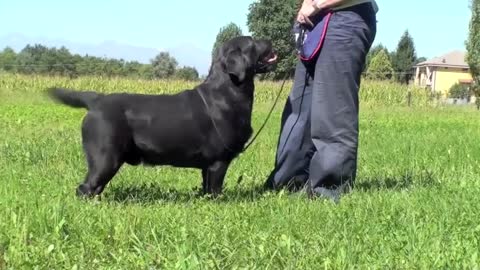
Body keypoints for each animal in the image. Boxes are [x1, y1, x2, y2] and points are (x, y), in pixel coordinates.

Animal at [46, 35, 278, 198]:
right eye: (252, 41)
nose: (270, 40)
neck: (228, 90)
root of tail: (96, 100)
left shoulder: (207, 166)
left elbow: (205, 190)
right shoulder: (218, 162)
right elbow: (215, 191)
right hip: (105, 158)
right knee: (85, 188)